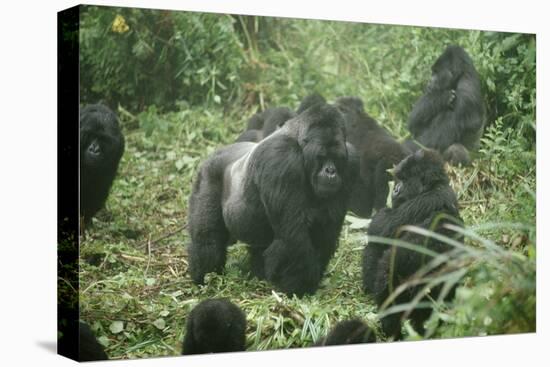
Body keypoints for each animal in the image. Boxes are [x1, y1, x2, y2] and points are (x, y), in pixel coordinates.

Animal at [190, 102, 360, 298]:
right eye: (321, 157)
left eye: (337, 158)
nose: (331, 171)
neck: (299, 145)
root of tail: (218, 151)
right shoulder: (280, 159)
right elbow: (292, 238)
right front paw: (300, 287)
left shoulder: (351, 162)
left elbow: (326, 232)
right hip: (208, 173)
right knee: (207, 240)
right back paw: (205, 277)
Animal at [362, 149, 466, 340]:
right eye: (398, 179)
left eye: (404, 179)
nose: (395, 189)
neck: (434, 185)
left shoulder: (420, 202)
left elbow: (380, 227)